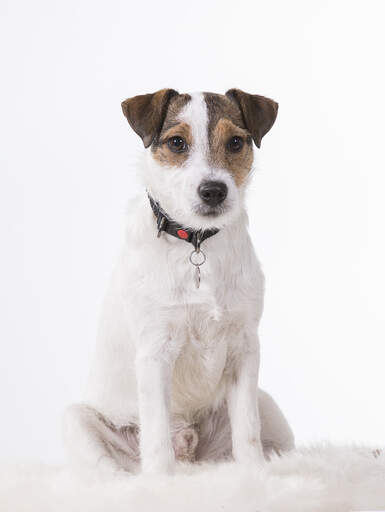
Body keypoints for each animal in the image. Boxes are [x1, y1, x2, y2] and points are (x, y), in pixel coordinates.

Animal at [63, 87, 294, 472]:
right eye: (176, 142)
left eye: (235, 142)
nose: (213, 190)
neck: (197, 243)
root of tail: (190, 451)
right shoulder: (155, 352)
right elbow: (156, 438)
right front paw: (160, 481)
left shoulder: (244, 347)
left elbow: (248, 430)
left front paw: (253, 476)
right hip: (76, 420)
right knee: (112, 467)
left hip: (269, 406)